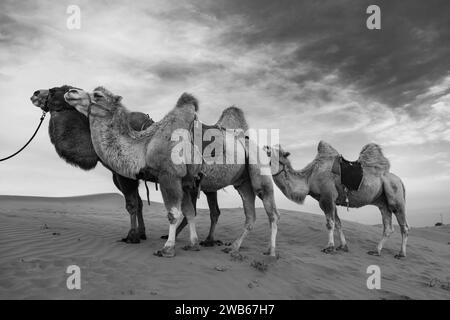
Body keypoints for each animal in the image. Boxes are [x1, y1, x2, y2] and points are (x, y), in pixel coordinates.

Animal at [29, 85, 221, 245]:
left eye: (56, 89)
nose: (35, 93)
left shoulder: (124, 175)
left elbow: (132, 204)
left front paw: (132, 236)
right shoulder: (123, 175)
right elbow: (139, 203)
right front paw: (141, 233)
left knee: (208, 210)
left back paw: (206, 240)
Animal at [65, 87, 280, 258]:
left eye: (98, 95)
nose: (71, 92)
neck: (145, 146)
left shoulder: (169, 176)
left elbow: (173, 213)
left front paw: (167, 248)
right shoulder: (183, 182)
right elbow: (189, 212)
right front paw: (193, 244)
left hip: (259, 171)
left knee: (272, 212)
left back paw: (271, 252)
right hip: (242, 182)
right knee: (250, 216)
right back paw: (233, 248)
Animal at [266, 142, 410, 258]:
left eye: (279, 154)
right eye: (269, 153)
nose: (266, 149)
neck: (309, 177)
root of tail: (401, 181)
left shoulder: (327, 197)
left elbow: (330, 223)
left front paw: (329, 247)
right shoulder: (330, 200)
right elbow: (339, 223)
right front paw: (343, 246)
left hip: (395, 195)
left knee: (404, 226)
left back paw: (401, 254)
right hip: (383, 203)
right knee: (388, 227)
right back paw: (376, 251)